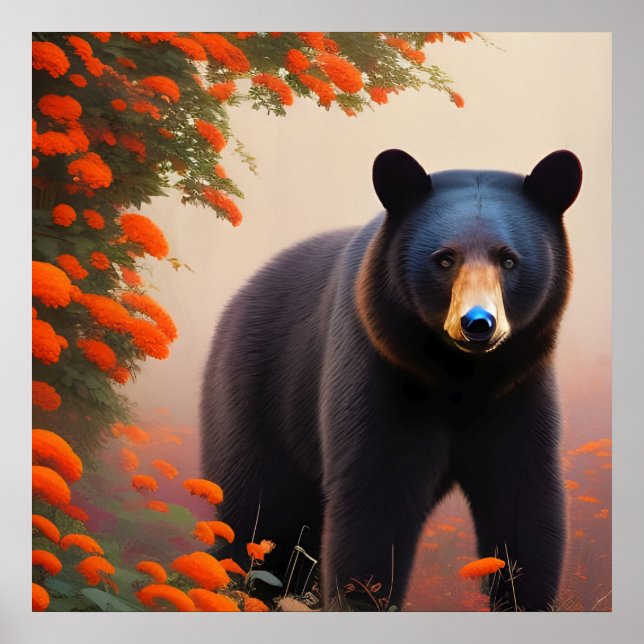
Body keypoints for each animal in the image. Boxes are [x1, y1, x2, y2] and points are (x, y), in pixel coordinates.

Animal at [200, 149, 583, 611]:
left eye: (509, 259)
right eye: (444, 259)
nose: (478, 323)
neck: (462, 378)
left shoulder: (518, 388)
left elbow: (523, 498)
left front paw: (524, 598)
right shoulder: (378, 369)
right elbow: (375, 499)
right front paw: (363, 598)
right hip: (254, 397)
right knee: (257, 517)